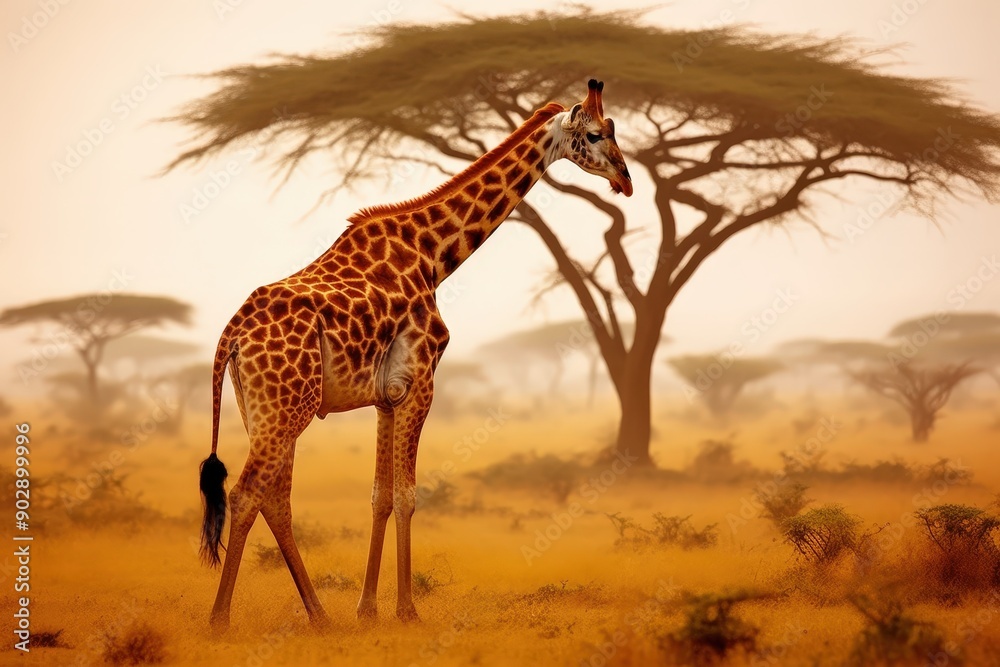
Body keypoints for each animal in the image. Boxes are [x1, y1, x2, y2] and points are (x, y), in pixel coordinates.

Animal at [198, 78, 632, 631]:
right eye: (595, 134)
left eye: (614, 129)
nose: (626, 179)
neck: (433, 255)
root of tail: (230, 336)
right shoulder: (420, 382)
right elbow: (407, 496)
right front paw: (407, 610)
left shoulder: (387, 396)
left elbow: (380, 496)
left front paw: (367, 610)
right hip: (287, 408)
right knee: (247, 492)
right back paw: (220, 619)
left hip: (261, 409)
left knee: (276, 498)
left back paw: (320, 615)